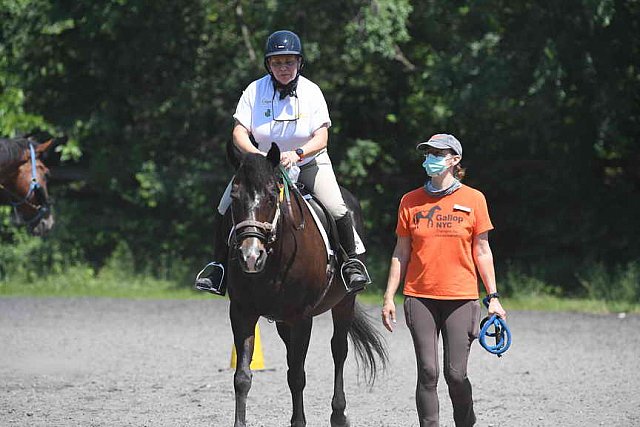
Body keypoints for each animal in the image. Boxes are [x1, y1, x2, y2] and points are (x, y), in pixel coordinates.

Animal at [224, 144, 384, 427]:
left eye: (270, 197)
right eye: (234, 197)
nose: (250, 257)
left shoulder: (302, 317)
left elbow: (297, 375)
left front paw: (299, 421)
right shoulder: (242, 312)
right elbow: (242, 377)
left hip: (344, 302)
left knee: (338, 350)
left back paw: (339, 414)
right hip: (282, 321)